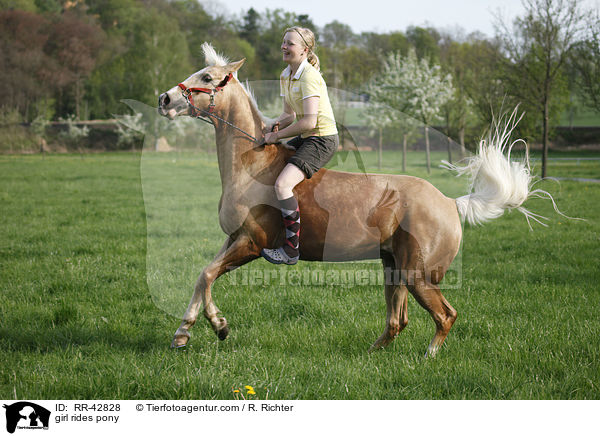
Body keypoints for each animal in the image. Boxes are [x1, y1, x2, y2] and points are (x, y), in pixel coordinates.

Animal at [158, 43, 544, 358]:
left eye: (207, 77)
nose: (165, 99)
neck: (251, 165)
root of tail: (451, 202)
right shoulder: (233, 238)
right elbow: (202, 276)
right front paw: (184, 332)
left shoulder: (252, 243)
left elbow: (208, 274)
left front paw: (218, 326)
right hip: (393, 267)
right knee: (397, 321)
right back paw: (371, 353)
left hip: (418, 276)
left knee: (445, 315)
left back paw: (428, 356)